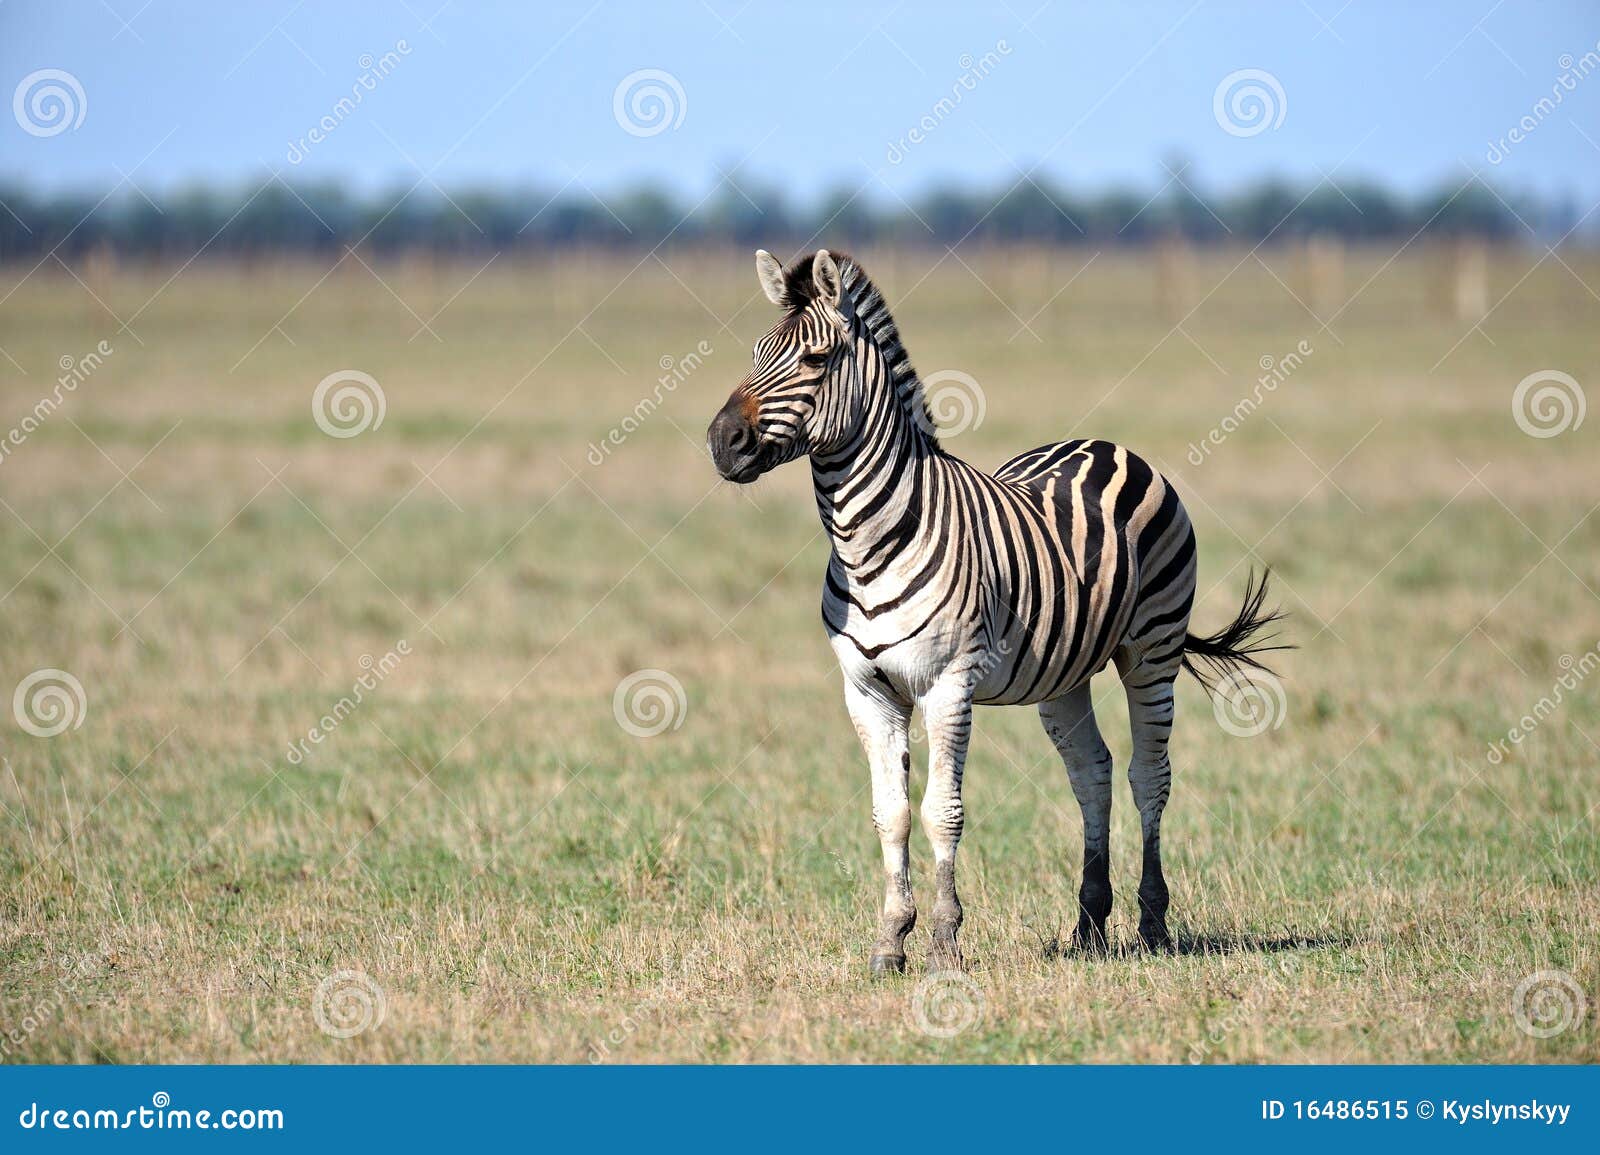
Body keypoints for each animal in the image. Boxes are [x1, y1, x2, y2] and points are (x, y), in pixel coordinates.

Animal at [707, 252, 1280, 972]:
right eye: (758, 352)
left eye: (815, 359)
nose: (721, 441)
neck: (869, 541)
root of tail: (1103, 443)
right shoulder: (866, 690)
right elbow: (891, 812)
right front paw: (891, 938)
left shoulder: (948, 686)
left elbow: (941, 811)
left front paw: (944, 942)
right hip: (1065, 675)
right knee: (1092, 773)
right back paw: (1089, 924)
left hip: (1153, 651)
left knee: (1149, 775)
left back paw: (1152, 923)